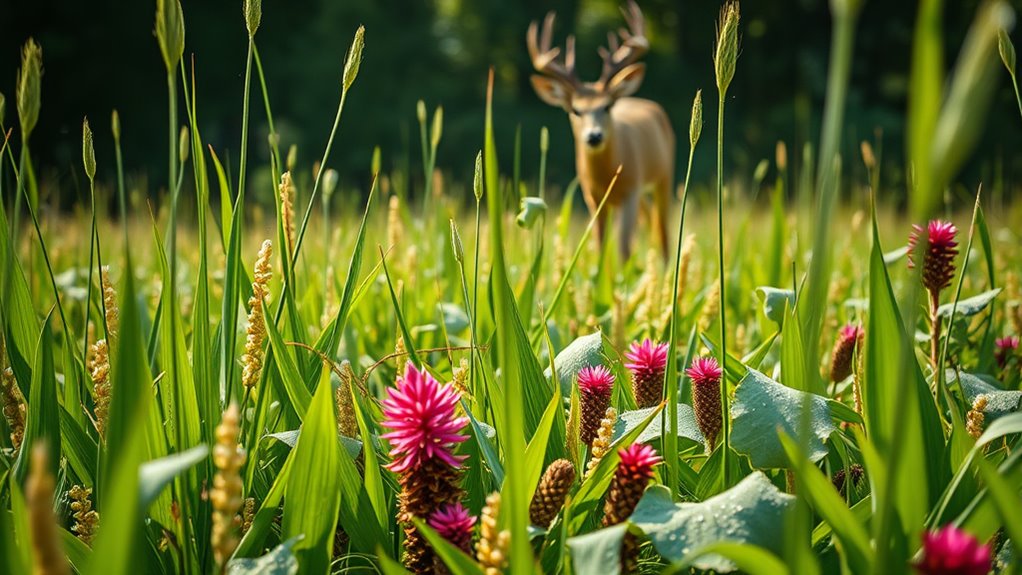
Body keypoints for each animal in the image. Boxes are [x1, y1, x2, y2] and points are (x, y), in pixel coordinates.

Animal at [528, 1, 675, 262]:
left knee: (662, 228)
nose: (594, 136)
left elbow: (624, 247)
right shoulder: (593, 197)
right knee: (650, 224)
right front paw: (600, 272)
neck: (607, 174)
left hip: (663, 175)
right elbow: (599, 245)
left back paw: (667, 267)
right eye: (575, 110)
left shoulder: (631, 189)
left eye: (606, 106)